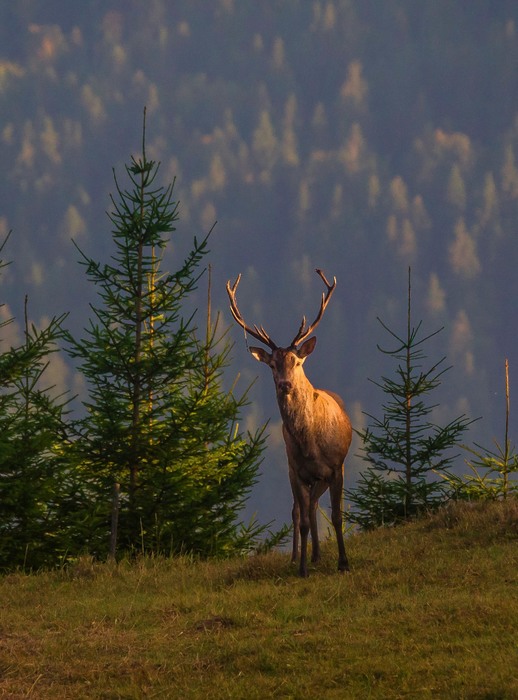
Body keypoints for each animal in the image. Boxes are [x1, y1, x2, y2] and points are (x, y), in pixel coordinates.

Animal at [228, 268, 354, 580]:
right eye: (272, 365)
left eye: (297, 362)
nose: (285, 384)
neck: (311, 445)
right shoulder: (296, 471)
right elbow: (304, 520)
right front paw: (302, 568)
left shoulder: (336, 466)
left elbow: (337, 515)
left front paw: (344, 563)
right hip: (296, 473)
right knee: (301, 510)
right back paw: (306, 555)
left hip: (324, 476)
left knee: (314, 506)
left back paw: (319, 554)